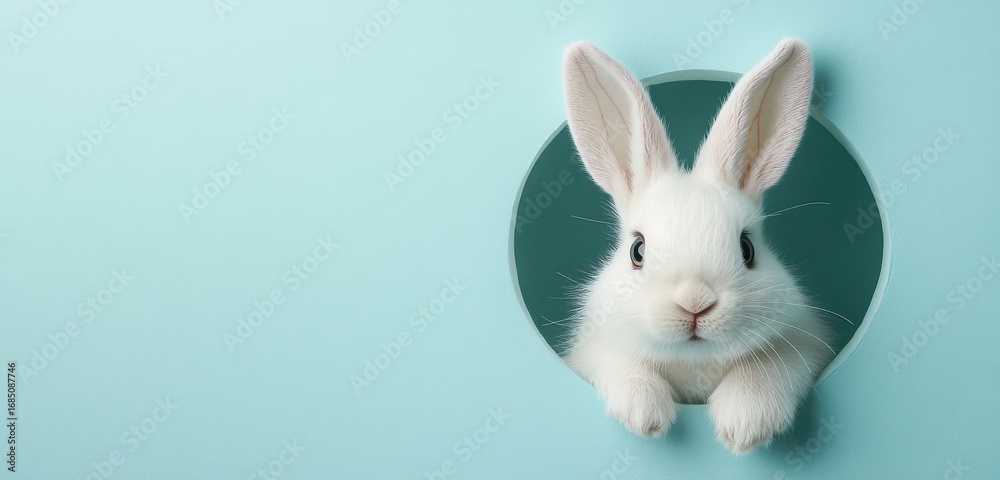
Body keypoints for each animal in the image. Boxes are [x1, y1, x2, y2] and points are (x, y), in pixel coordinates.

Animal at [562, 39, 834, 454]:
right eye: (637, 250)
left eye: (747, 249)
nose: (695, 304)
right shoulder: (592, 349)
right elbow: (620, 363)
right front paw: (645, 415)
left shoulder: (803, 345)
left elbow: (765, 370)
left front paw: (746, 426)